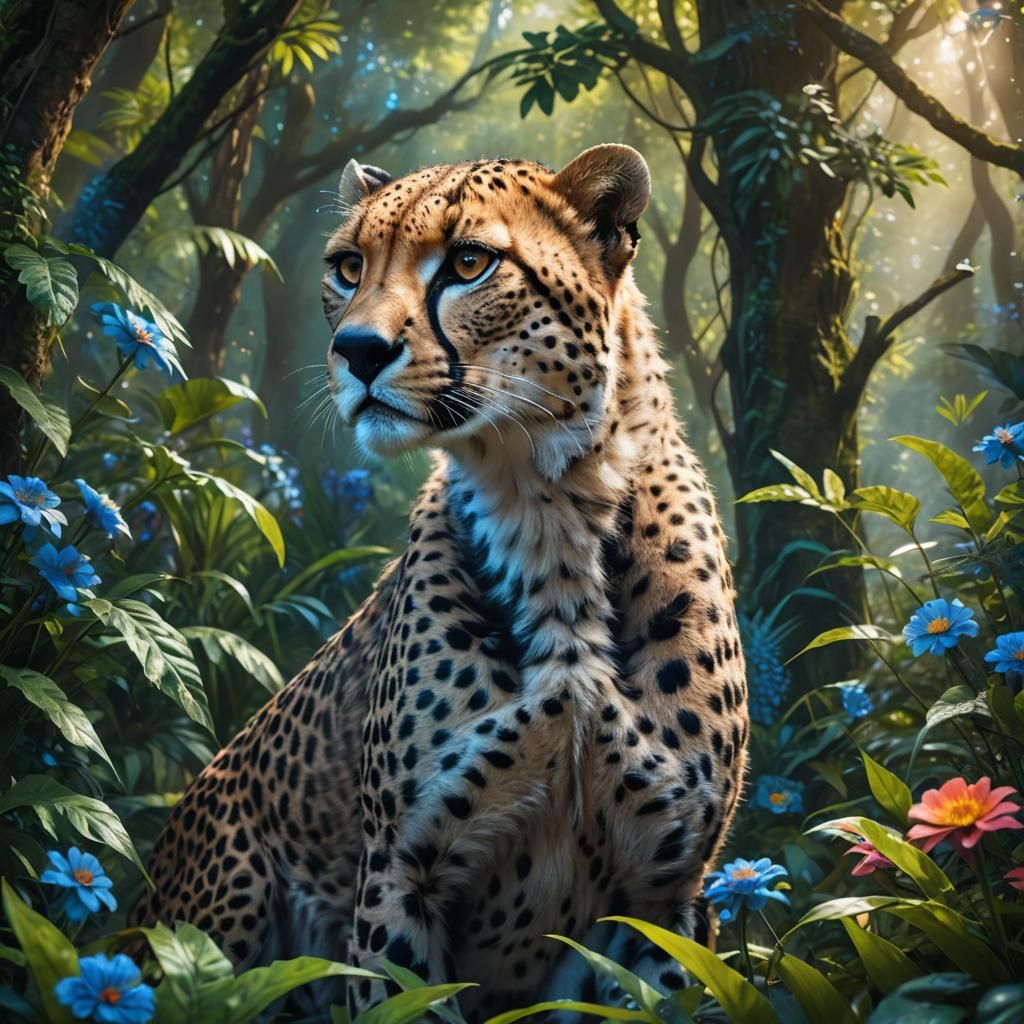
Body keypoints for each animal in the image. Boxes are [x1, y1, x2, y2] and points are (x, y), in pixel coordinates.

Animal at [131, 145, 749, 1018]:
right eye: (348, 267)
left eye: (467, 263)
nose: (357, 350)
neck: (549, 506)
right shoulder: (399, 875)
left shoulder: (661, 900)